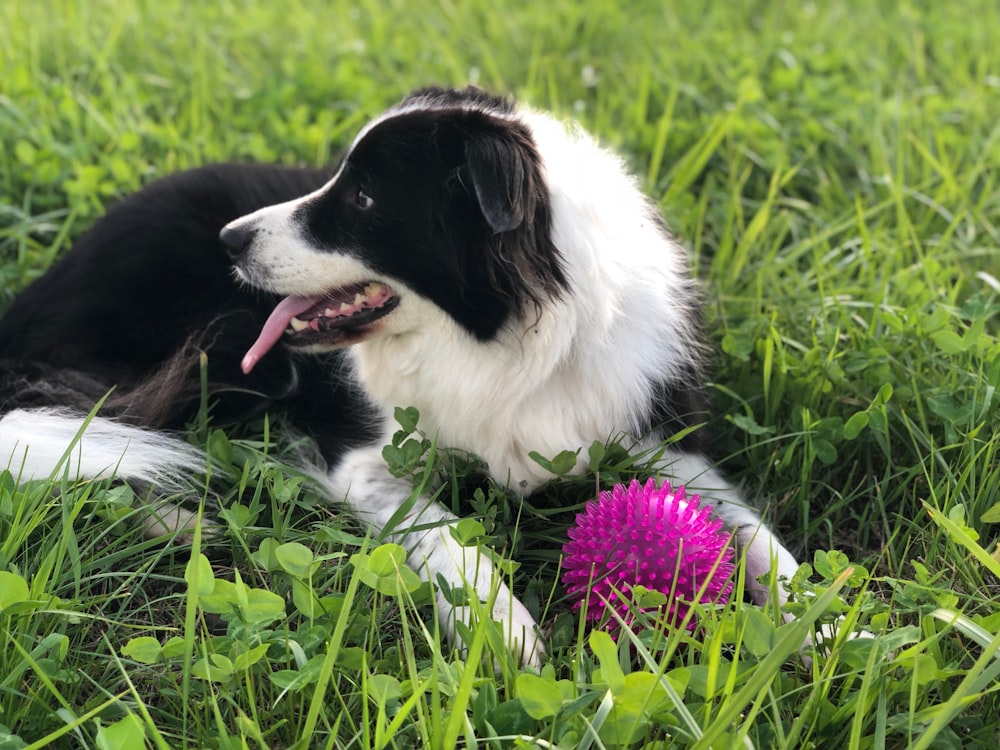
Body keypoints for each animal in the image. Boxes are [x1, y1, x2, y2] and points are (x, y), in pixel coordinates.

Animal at [0, 85, 800, 668]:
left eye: (362, 198)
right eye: (336, 177)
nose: (231, 240)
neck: (504, 336)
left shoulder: (660, 437)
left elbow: (751, 530)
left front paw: (815, 621)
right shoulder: (364, 457)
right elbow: (445, 530)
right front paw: (501, 627)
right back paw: (177, 518)